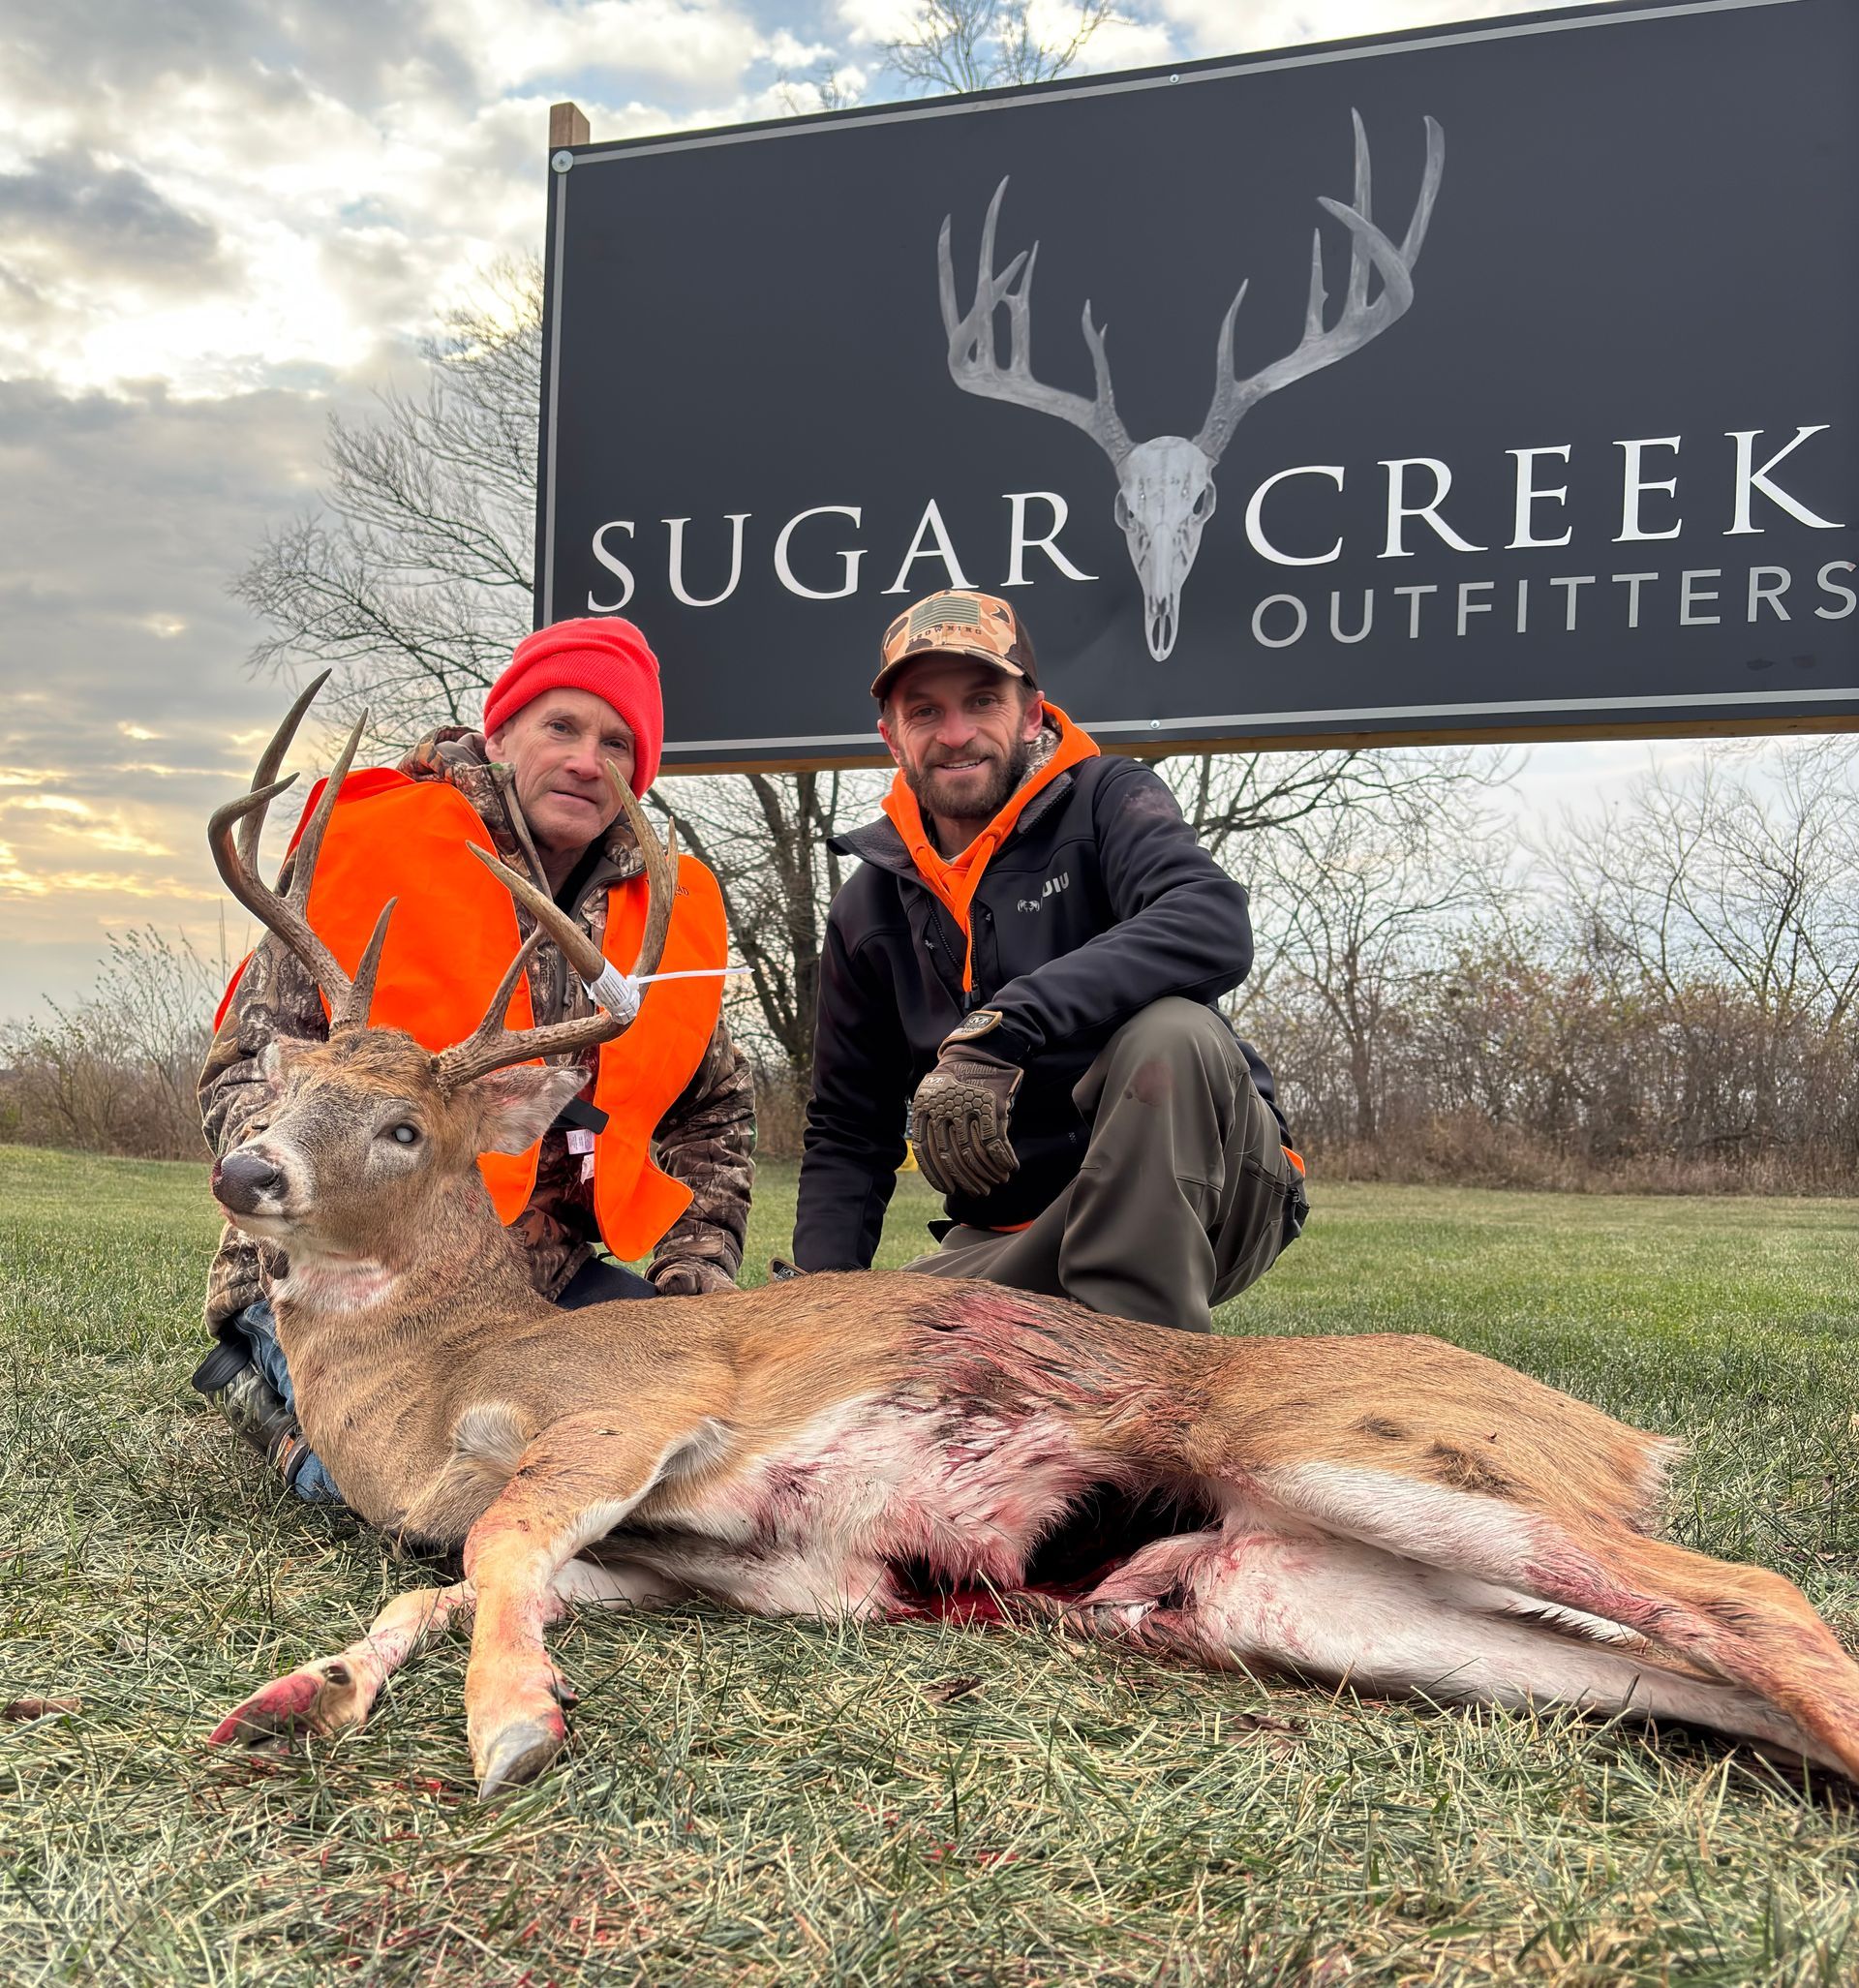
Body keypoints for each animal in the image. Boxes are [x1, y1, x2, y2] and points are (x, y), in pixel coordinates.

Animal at [202, 687, 1859, 1800]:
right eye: (283, 1084)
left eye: (404, 1126)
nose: (243, 1167)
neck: (438, 1388)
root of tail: (1620, 1433)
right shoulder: (727, 1564)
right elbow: (437, 1583)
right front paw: (297, 1697)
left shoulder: (640, 1406)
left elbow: (489, 1546)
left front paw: (512, 1725)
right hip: (1293, 1589)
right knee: (1699, 1667)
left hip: (1378, 1452)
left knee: (1761, 1597)